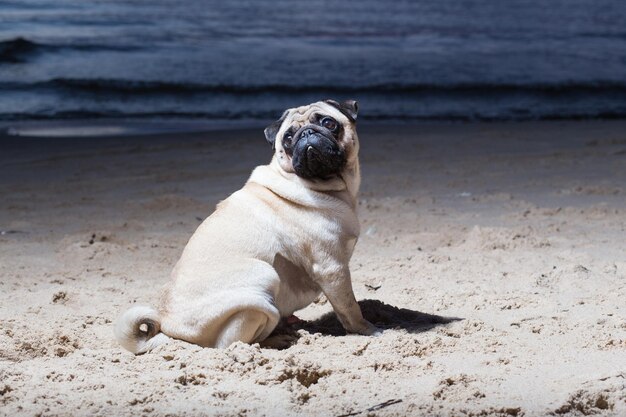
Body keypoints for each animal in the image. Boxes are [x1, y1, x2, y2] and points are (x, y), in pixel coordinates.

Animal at [112, 99, 378, 352]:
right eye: (288, 137)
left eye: (328, 123)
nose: (307, 133)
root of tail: (170, 328)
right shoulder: (332, 268)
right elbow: (349, 308)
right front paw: (367, 330)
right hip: (264, 279)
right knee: (233, 342)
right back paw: (277, 339)